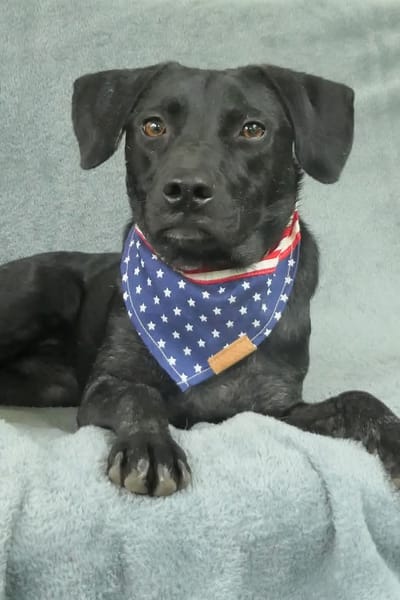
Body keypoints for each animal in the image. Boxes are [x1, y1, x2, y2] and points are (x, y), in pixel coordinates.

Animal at [0, 62, 399, 497]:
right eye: (153, 126)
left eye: (253, 129)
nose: (186, 190)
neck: (209, 283)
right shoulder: (104, 386)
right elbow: (140, 396)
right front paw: (150, 446)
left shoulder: (274, 409)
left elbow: (356, 398)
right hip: (44, 289)